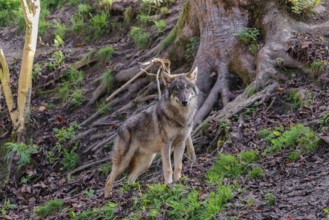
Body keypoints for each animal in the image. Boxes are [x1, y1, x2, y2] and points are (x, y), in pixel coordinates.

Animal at [104, 66, 197, 198]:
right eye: (176, 89)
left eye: (187, 87)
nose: (184, 102)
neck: (181, 117)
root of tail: (119, 127)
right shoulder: (166, 145)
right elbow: (168, 168)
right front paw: (169, 185)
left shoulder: (181, 143)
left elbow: (178, 166)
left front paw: (178, 181)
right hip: (123, 162)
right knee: (109, 179)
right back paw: (108, 198)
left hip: (146, 163)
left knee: (130, 178)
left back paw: (135, 192)